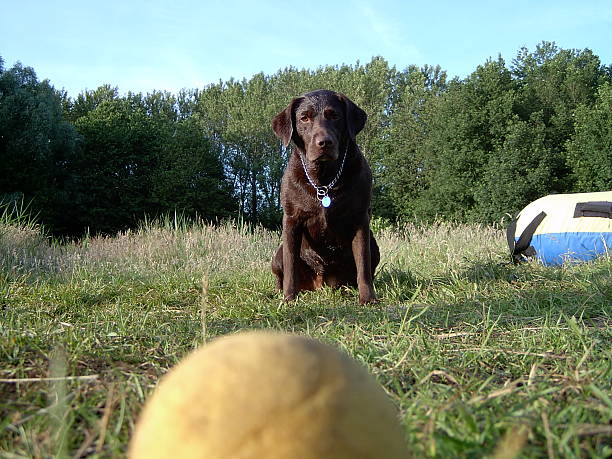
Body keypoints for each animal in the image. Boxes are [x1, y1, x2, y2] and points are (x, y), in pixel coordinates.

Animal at [272, 90, 380, 306]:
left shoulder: (360, 219)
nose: (324, 142)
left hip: (375, 245)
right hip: (276, 256)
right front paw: (288, 299)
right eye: (304, 118)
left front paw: (367, 298)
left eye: (334, 116)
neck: (324, 180)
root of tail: (321, 284)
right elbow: (290, 265)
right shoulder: (292, 220)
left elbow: (363, 264)